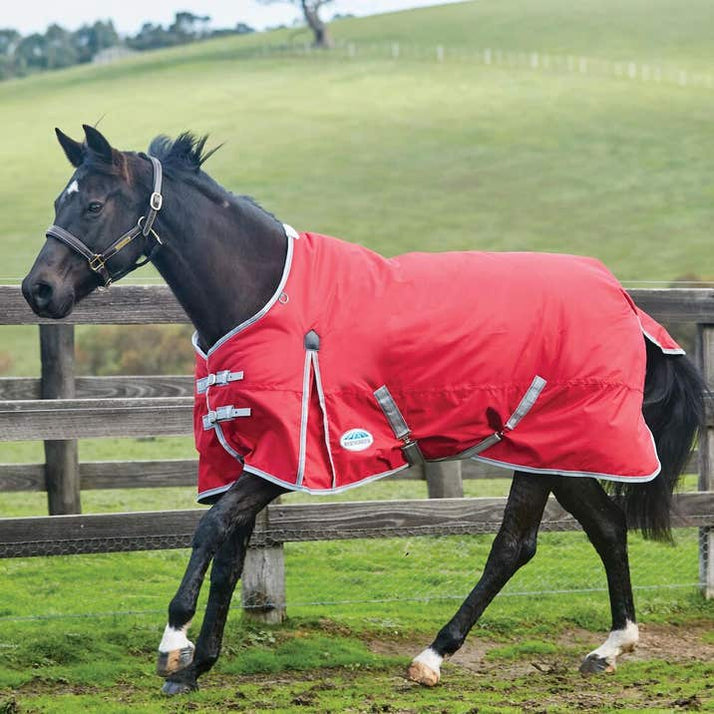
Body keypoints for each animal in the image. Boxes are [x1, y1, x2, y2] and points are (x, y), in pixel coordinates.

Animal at [22, 125, 705, 695]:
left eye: (93, 204)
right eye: (58, 201)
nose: (38, 290)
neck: (265, 297)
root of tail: (627, 305)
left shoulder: (281, 462)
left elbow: (211, 531)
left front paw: (174, 646)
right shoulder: (245, 457)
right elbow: (231, 554)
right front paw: (199, 666)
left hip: (545, 450)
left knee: (515, 546)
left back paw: (433, 656)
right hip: (557, 452)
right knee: (605, 527)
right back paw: (609, 647)